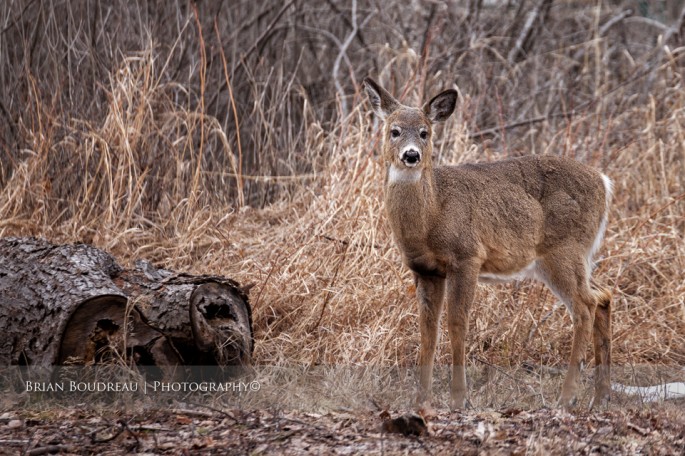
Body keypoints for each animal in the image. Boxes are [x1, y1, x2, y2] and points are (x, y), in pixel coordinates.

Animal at [363, 77, 612, 409]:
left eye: (425, 132)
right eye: (394, 130)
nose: (411, 155)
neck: (433, 215)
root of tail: (604, 181)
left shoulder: (467, 256)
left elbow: (457, 324)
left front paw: (459, 398)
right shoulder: (425, 270)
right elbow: (428, 330)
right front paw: (420, 399)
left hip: (564, 251)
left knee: (585, 307)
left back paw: (567, 396)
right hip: (571, 259)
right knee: (603, 295)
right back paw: (601, 395)